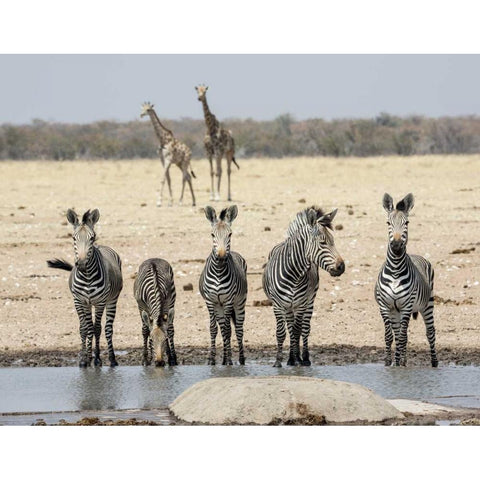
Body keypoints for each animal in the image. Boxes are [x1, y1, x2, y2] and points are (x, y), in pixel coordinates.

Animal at [47, 208, 123, 370]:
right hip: (88, 304)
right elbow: (84, 329)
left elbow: (96, 329)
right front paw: (84, 359)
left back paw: (112, 359)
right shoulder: (79, 301)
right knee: (88, 327)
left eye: (92, 238)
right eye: (73, 238)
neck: (87, 276)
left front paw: (97, 359)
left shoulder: (100, 302)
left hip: (112, 300)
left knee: (107, 329)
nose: (81, 264)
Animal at [199, 204, 248, 366]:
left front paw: (228, 360)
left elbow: (228, 329)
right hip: (218, 306)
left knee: (237, 329)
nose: (220, 257)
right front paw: (212, 359)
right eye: (212, 235)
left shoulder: (228, 300)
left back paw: (239, 359)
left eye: (230, 234)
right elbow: (214, 329)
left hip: (239, 302)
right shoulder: (210, 300)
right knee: (223, 328)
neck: (219, 272)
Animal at [262, 206, 344, 368]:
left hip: (309, 301)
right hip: (288, 306)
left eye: (333, 241)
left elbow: (297, 331)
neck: (293, 275)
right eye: (323, 243)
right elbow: (281, 332)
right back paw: (292, 358)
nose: (341, 267)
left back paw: (303, 358)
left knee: (304, 329)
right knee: (291, 328)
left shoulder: (300, 303)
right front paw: (279, 361)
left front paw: (296, 359)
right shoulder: (277, 304)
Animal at [376, 194, 438, 368]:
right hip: (396, 311)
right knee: (400, 334)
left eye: (407, 223)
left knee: (430, 332)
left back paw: (434, 362)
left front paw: (397, 363)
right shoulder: (385, 306)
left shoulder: (406, 306)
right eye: (388, 223)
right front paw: (389, 362)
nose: (397, 246)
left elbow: (402, 337)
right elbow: (390, 336)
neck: (395, 270)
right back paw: (402, 360)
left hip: (427, 304)